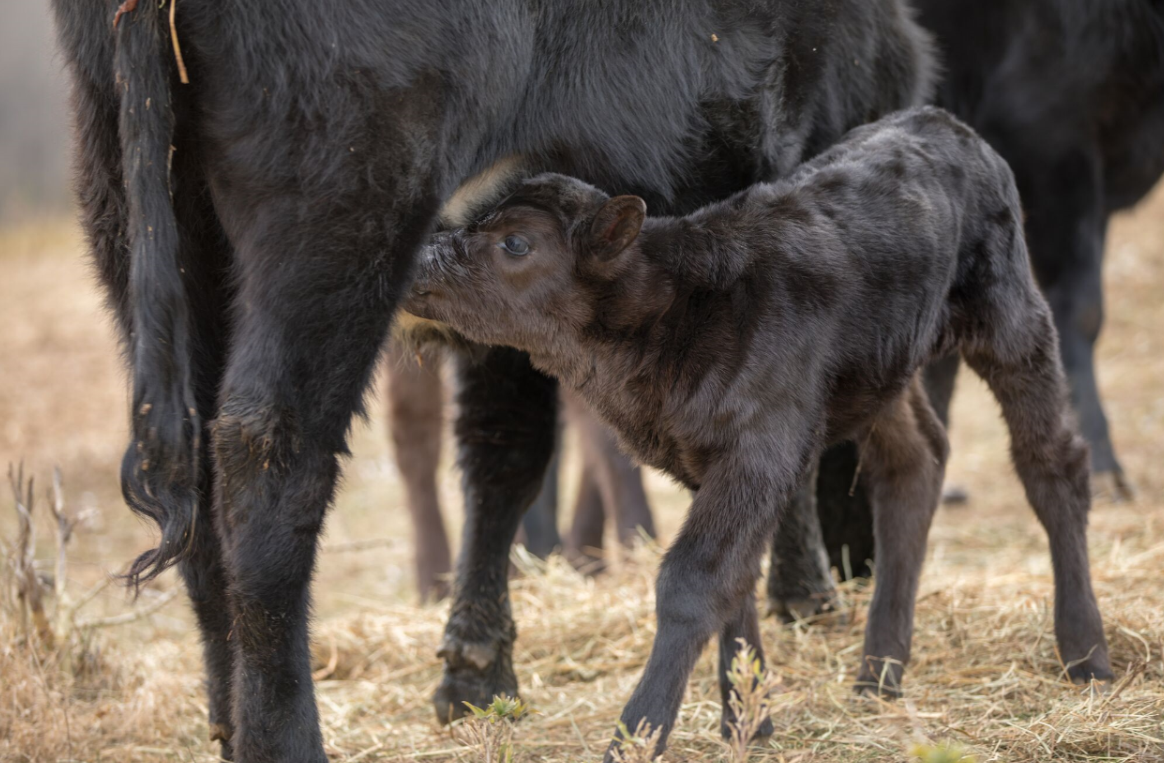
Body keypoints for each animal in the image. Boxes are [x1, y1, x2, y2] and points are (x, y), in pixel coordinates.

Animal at [50, 0, 933, 759]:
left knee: (198, 468)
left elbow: (502, 450)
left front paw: (474, 669)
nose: (856, 561)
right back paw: (285, 739)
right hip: (340, 211)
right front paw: (804, 589)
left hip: (139, 211)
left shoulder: (513, 290)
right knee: (268, 459)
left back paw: (229, 721)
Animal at [403, 107, 1113, 756]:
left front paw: (637, 735)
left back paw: (1086, 654)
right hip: (881, 369)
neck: (673, 307)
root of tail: (939, 120)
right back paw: (878, 675)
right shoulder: (706, 459)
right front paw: (748, 719)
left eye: (515, 243)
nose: (422, 262)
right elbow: (734, 577)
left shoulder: (757, 449)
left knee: (1052, 461)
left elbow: (693, 581)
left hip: (1009, 312)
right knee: (915, 460)